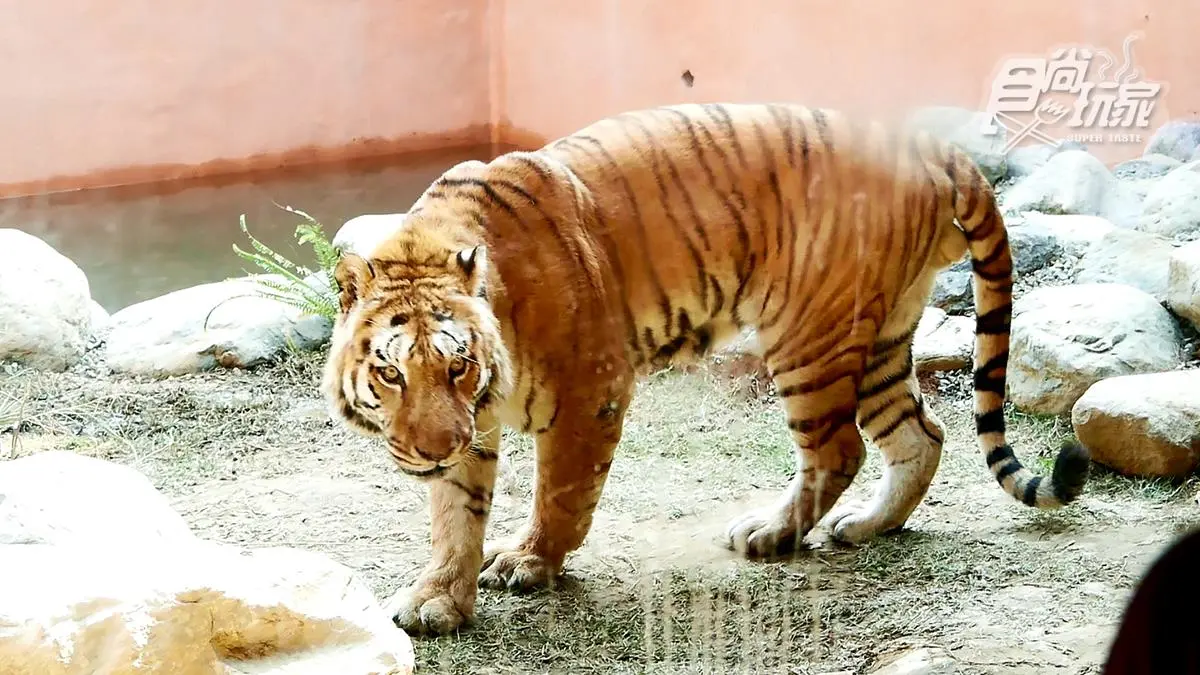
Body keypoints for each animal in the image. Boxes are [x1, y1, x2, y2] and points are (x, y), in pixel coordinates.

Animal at [322, 102, 1092, 636]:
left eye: (457, 366)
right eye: (393, 374)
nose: (432, 448)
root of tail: (929, 144)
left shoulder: (590, 390)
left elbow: (560, 492)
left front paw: (529, 561)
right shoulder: (471, 428)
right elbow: (455, 514)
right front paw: (438, 600)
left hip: (808, 334)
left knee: (838, 449)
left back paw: (771, 533)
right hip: (879, 334)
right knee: (920, 435)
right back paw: (869, 525)